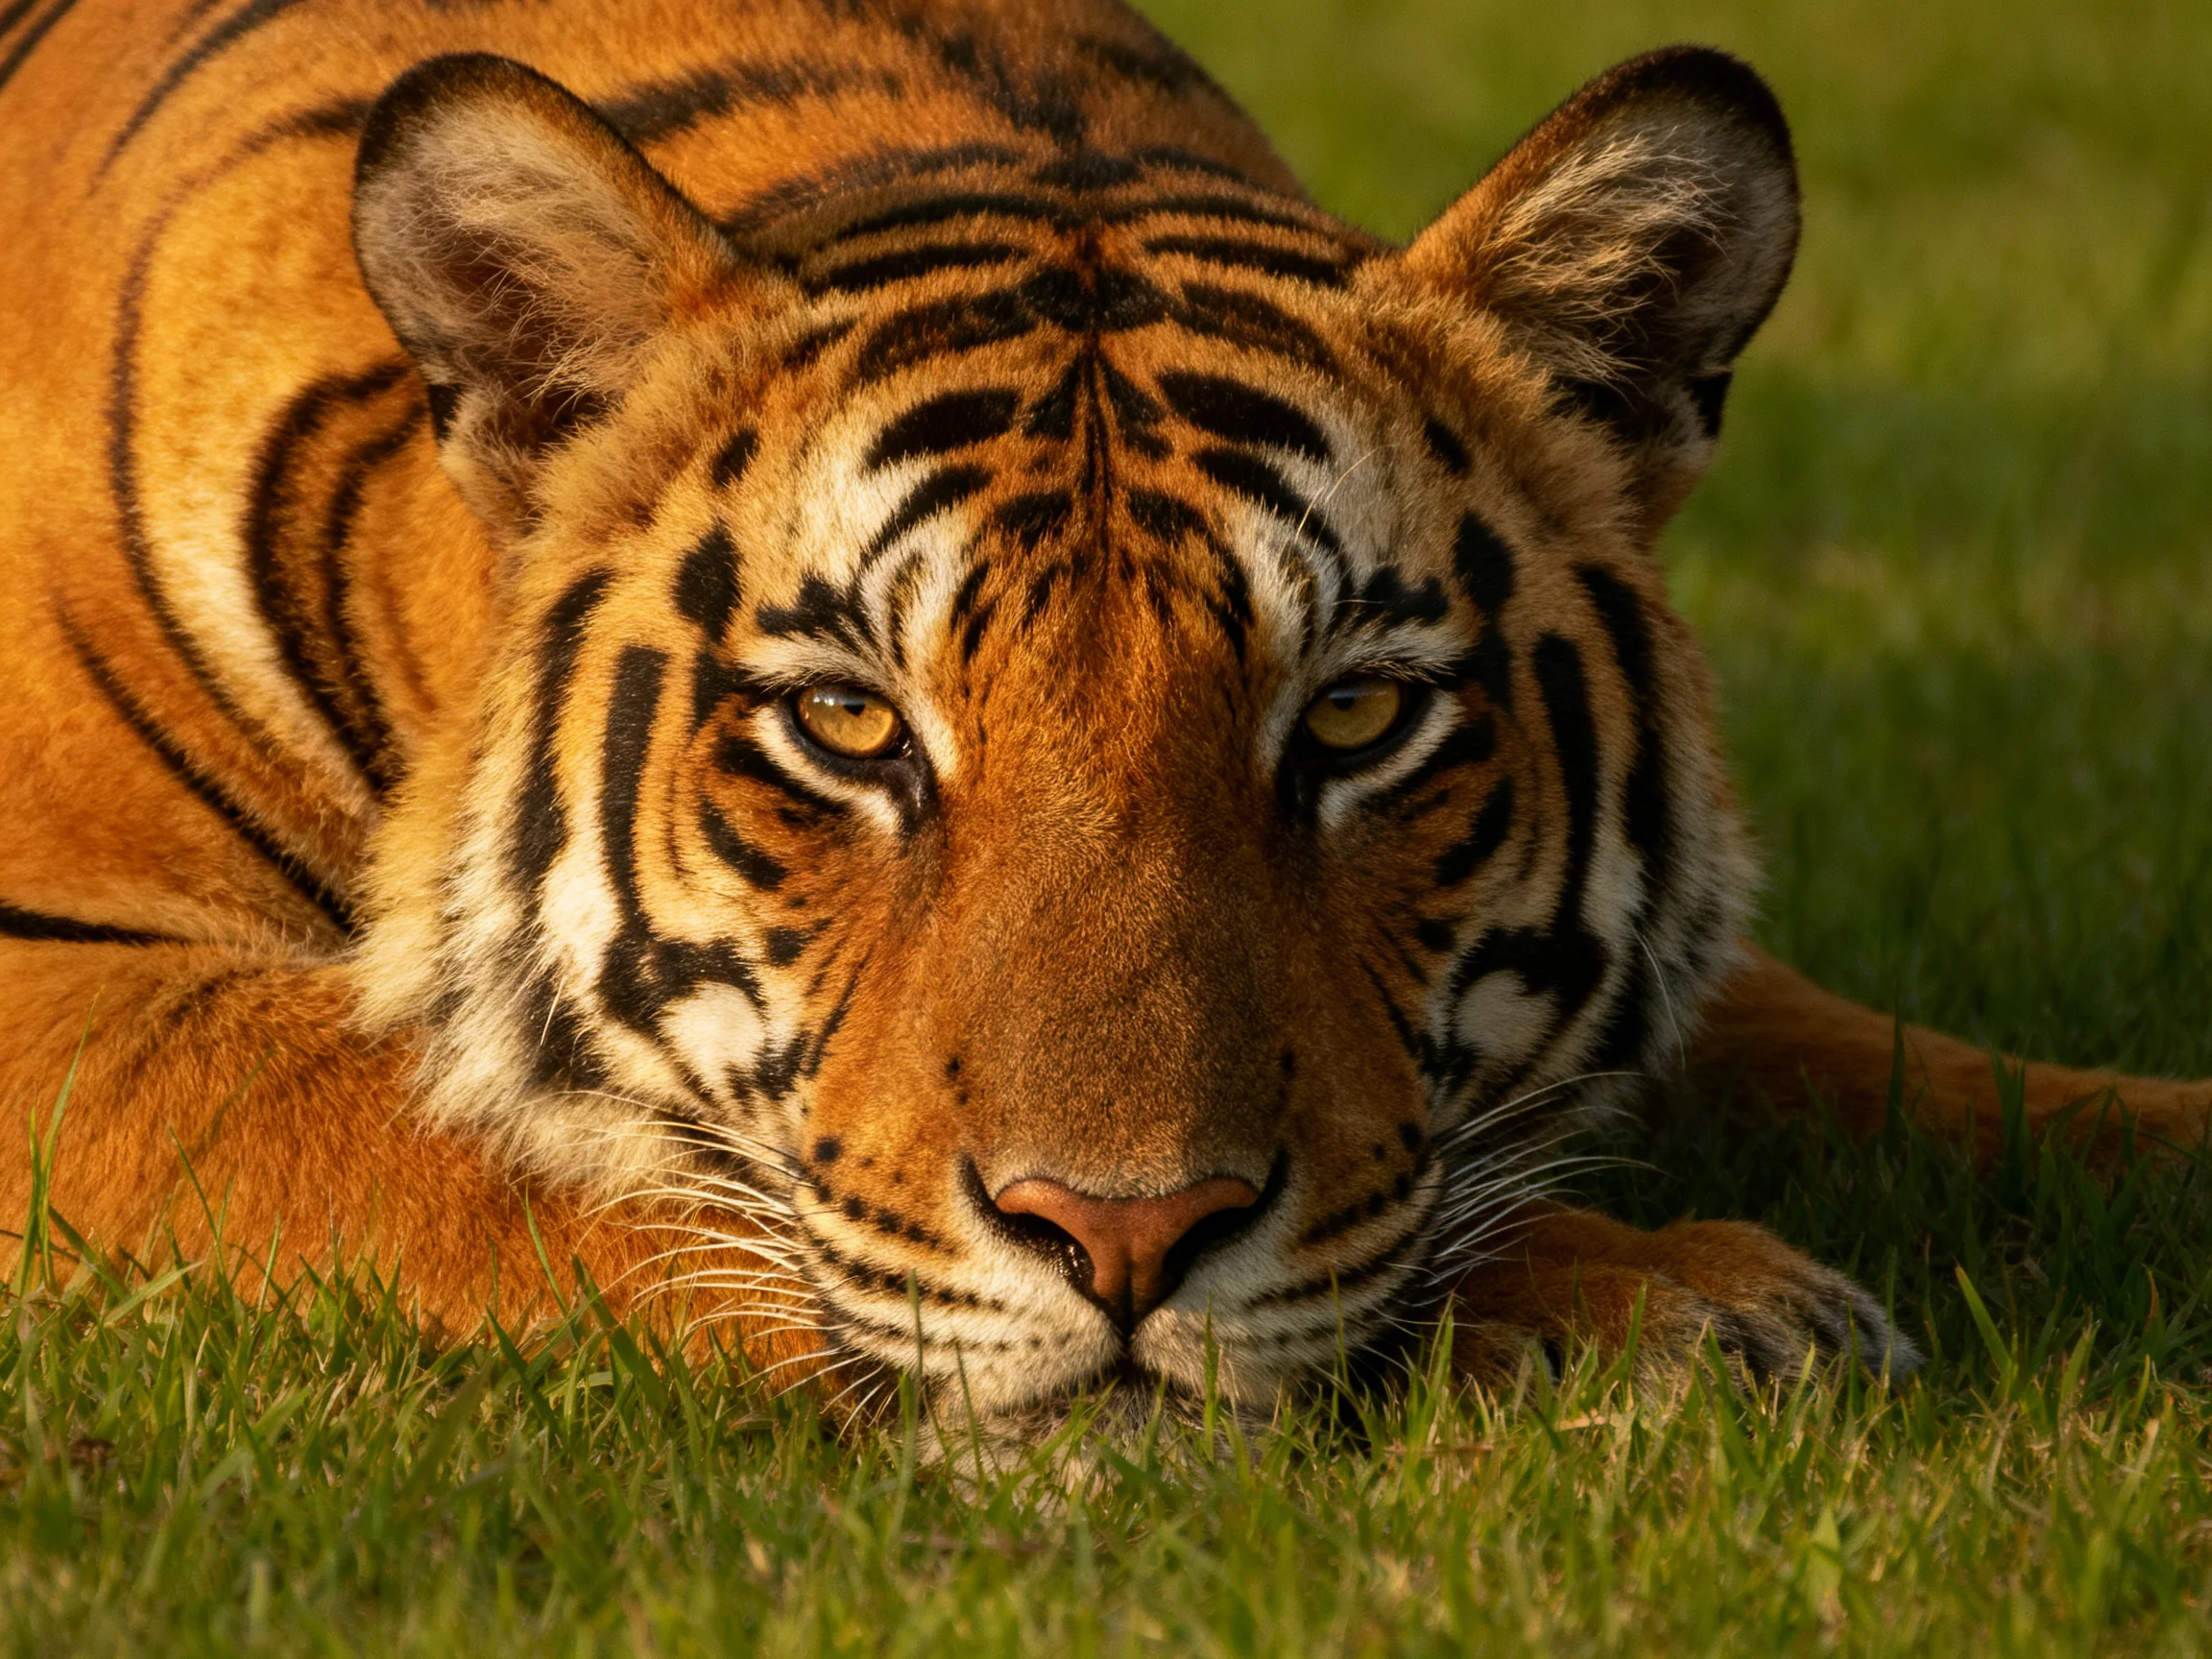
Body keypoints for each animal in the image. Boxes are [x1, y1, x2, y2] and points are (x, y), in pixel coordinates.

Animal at [1, 0, 2205, 1452]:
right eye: (849, 725)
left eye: (1357, 717)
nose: (1125, 1238)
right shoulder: (57, 972)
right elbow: (488, 1147)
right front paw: (1669, 1301)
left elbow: (1893, 1060)